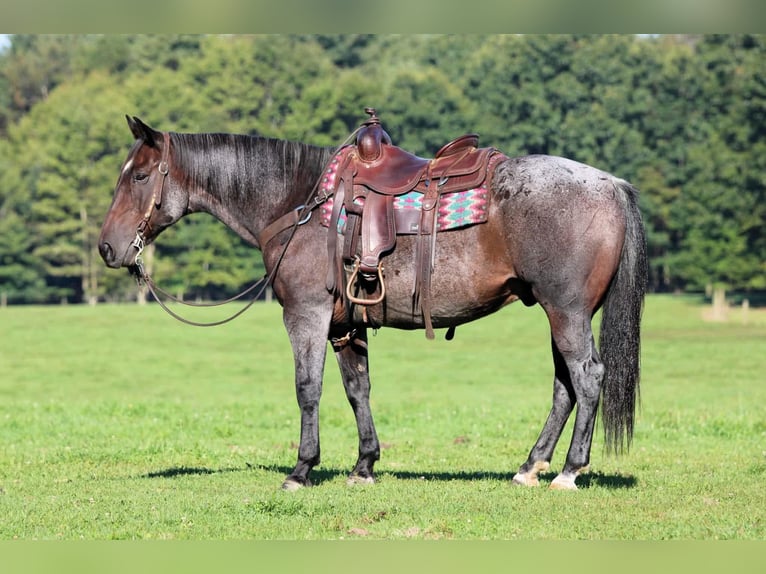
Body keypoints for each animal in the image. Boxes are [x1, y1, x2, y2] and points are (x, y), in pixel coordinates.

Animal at [98, 114, 647, 491]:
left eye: (140, 176)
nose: (107, 247)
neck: (299, 203)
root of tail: (612, 184)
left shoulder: (306, 314)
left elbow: (308, 388)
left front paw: (301, 468)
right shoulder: (345, 324)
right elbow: (357, 389)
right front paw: (364, 465)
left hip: (567, 311)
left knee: (587, 377)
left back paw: (569, 471)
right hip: (559, 313)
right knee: (564, 386)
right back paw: (531, 466)